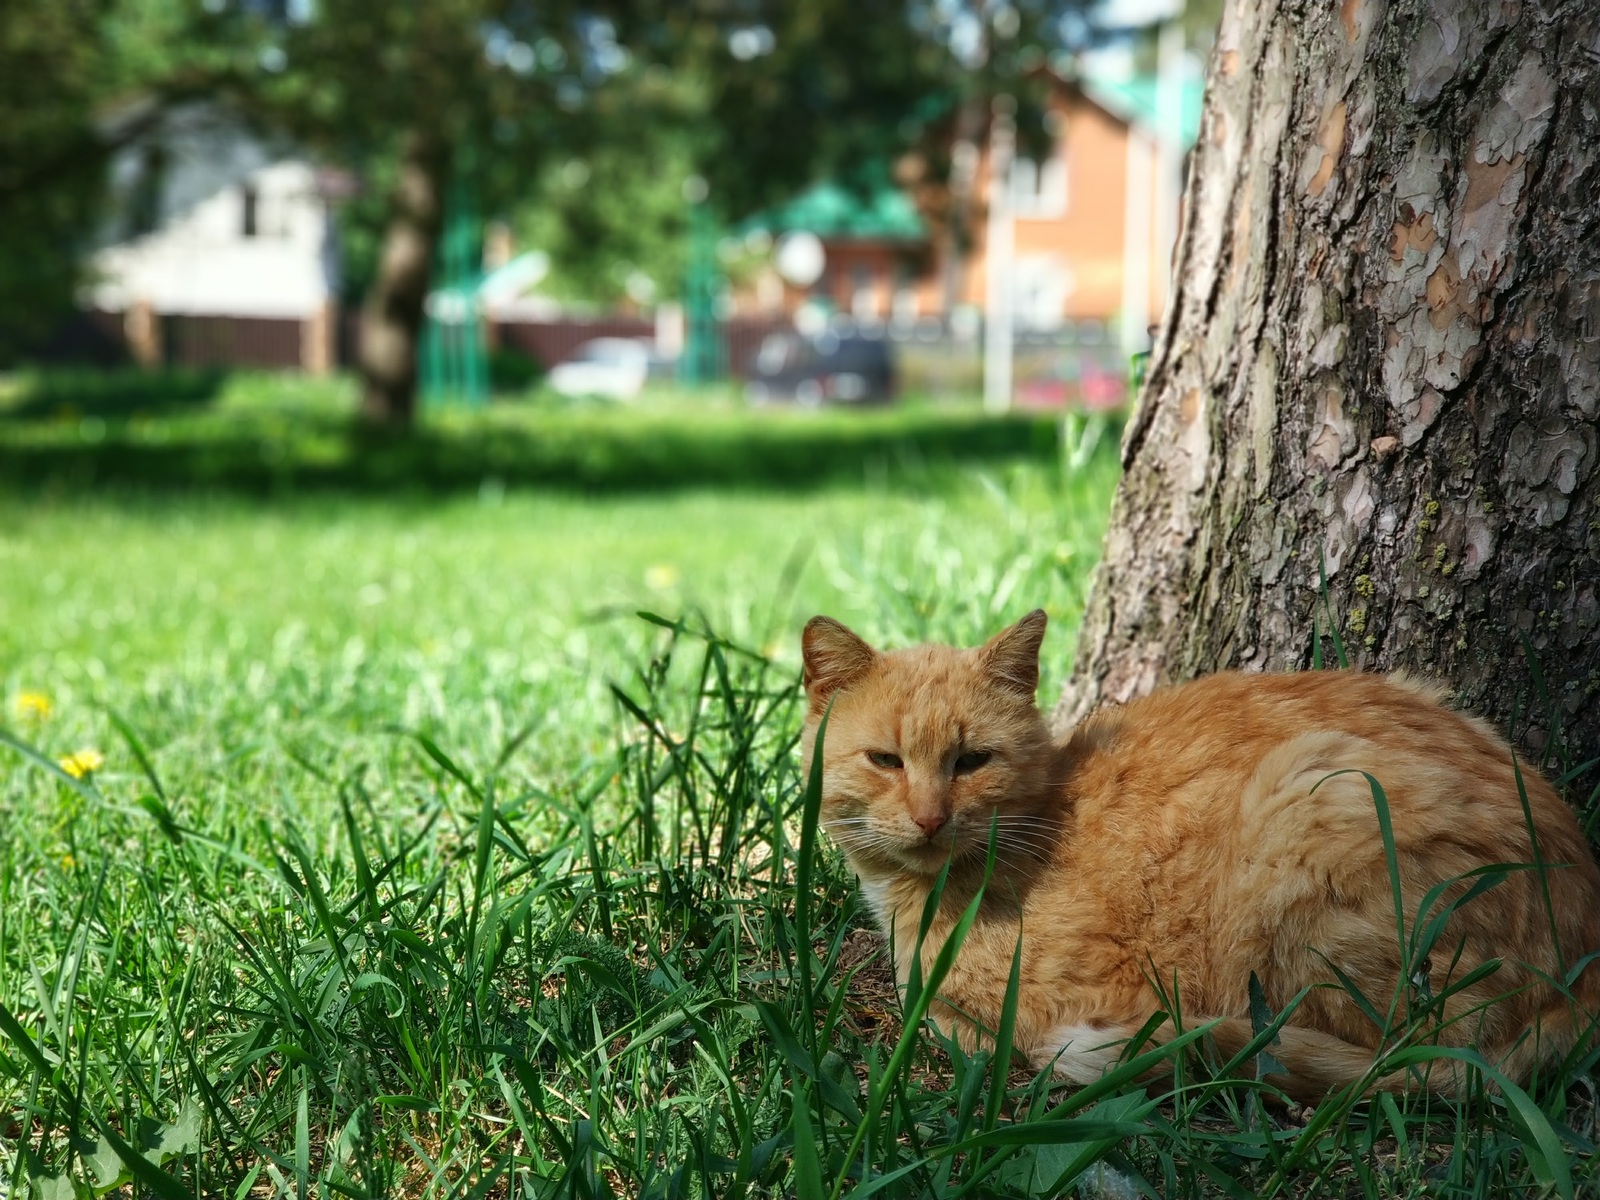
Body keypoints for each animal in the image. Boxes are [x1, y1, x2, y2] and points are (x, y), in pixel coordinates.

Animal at [800, 614, 1600, 1107]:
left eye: (971, 762)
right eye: (885, 761)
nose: (931, 818)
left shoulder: (1089, 996)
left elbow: (965, 1026)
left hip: (1311, 806)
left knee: (1386, 1051)